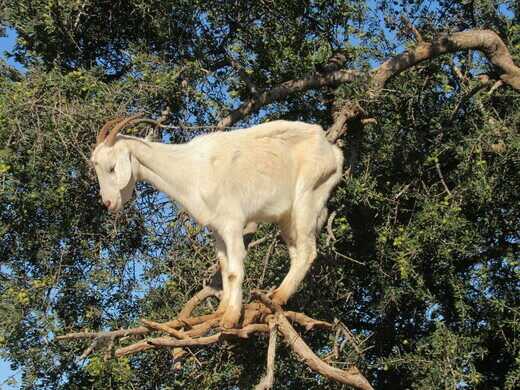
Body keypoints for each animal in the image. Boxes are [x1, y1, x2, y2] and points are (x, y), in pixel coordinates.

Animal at [92, 114, 346, 328]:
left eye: (112, 168)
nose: (108, 203)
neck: (190, 170)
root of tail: (332, 150)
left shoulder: (232, 222)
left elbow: (234, 269)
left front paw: (231, 319)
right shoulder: (216, 228)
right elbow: (224, 266)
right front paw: (220, 312)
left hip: (308, 197)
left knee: (307, 251)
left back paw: (278, 297)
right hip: (287, 217)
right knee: (296, 252)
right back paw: (275, 296)